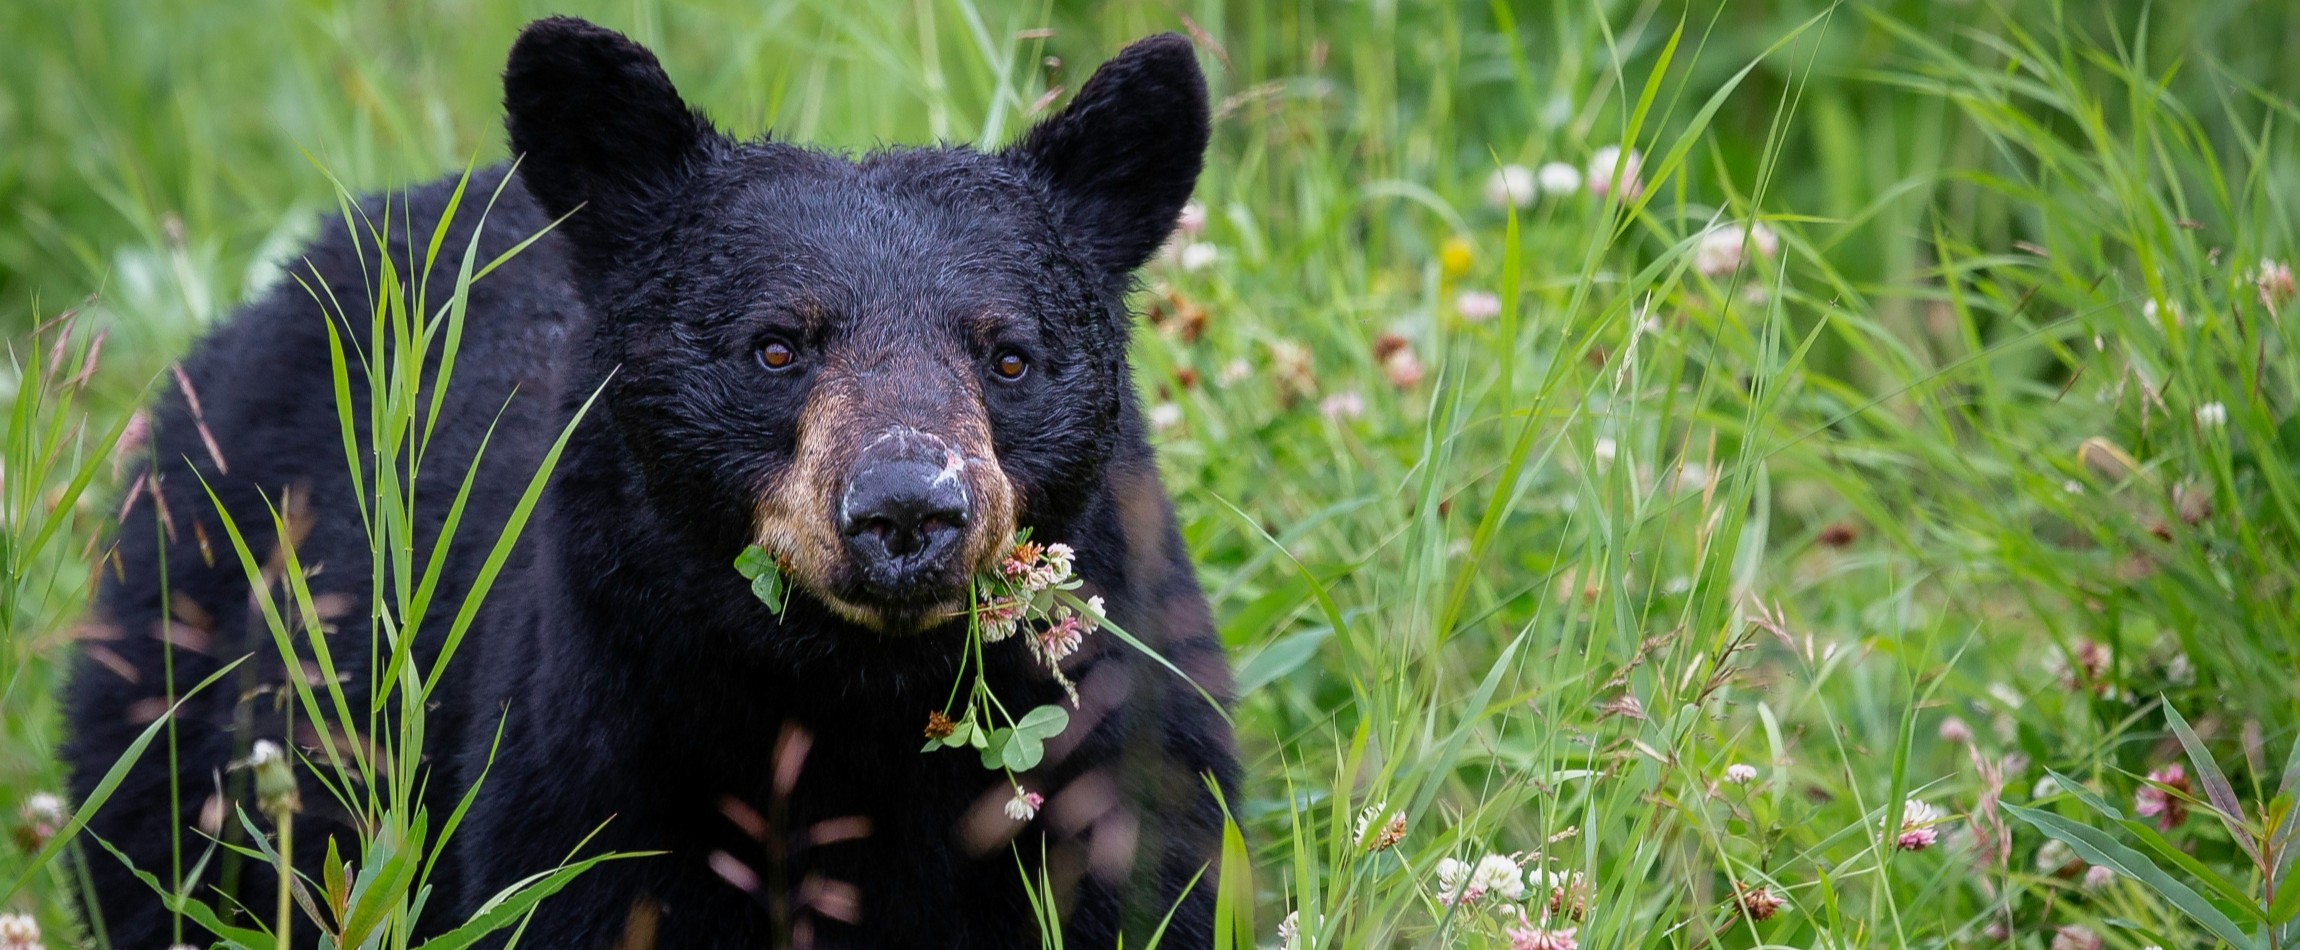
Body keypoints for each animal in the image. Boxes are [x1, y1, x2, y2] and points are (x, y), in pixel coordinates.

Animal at [64, 17, 1238, 949]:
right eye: (775, 347)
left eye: (1009, 356)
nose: (908, 509)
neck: (858, 706)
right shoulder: (599, 775)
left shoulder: (1121, 775)